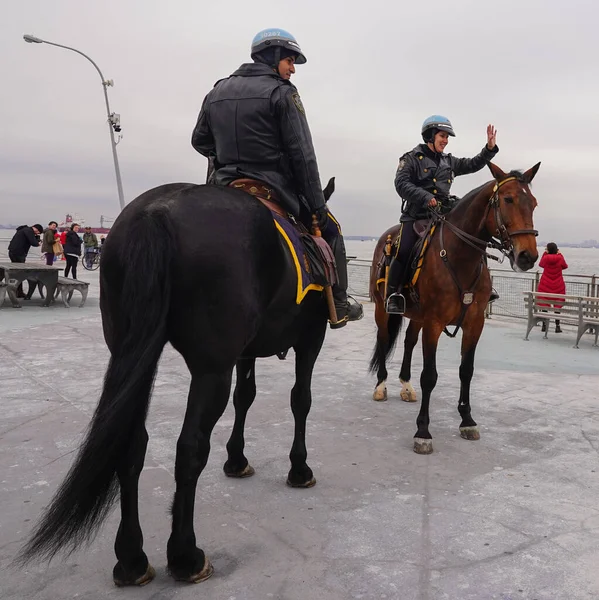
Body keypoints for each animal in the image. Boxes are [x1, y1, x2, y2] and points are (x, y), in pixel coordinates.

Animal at [16, 180, 338, 584]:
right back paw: (186, 555)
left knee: (131, 443)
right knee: (190, 447)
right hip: (211, 368)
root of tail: (157, 212)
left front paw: (237, 459)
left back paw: (132, 558)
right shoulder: (310, 339)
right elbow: (300, 400)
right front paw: (299, 468)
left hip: (135, 347)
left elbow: (245, 397)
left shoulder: (246, 351)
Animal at [368, 162, 540, 452]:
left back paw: (406, 384)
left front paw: (467, 419)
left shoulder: (474, 324)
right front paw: (423, 431)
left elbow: (466, 371)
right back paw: (381, 385)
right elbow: (429, 375)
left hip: (417, 316)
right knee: (383, 339)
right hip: (383, 308)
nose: (528, 256)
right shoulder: (434, 323)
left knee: (409, 342)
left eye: (534, 204)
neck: (459, 256)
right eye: (508, 199)